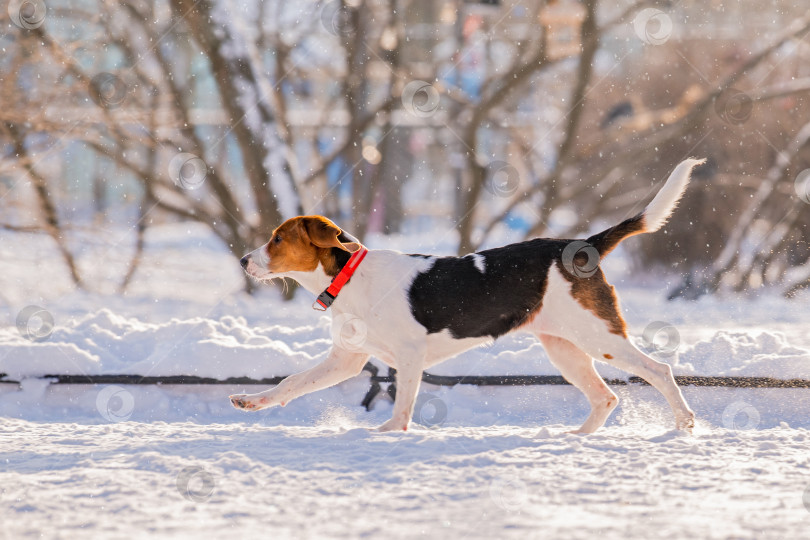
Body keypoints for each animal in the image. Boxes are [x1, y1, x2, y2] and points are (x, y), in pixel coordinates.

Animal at [232, 158, 700, 432]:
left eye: (277, 239)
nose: (242, 260)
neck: (349, 277)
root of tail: (582, 245)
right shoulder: (346, 360)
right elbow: (291, 382)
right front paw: (253, 401)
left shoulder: (409, 356)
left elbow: (401, 410)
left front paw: (387, 436)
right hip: (564, 348)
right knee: (606, 396)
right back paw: (574, 438)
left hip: (598, 338)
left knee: (659, 370)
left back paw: (682, 423)